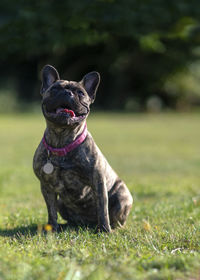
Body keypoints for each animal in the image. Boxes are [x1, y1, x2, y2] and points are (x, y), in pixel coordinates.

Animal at [32, 65, 133, 232]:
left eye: (80, 93)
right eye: (55, 89)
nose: (67, 92)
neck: (62, 140)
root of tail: (87, 224)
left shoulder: (98, 182)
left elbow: (103, 209)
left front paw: (104, 230)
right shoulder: (46, 187)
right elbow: (51, 210)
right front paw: (52, 228)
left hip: (122, 197)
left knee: (115, 217)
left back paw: (111, 228)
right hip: (62, 204)